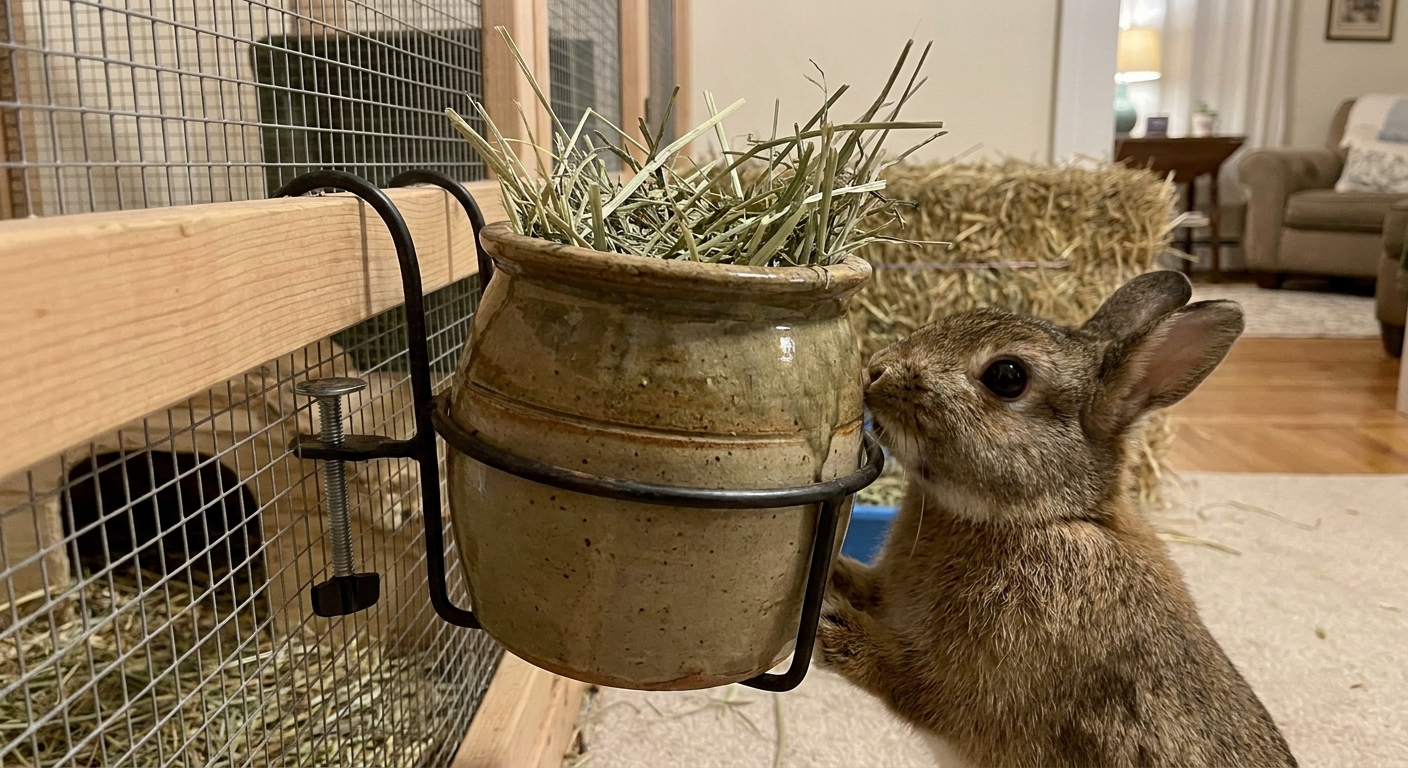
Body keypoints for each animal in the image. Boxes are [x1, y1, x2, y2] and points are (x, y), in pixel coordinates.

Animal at [817, 270, 1296, 768]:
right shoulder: (889, 594)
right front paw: (829, 575)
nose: (877, 370)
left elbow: (917, 684)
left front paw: (834, 628)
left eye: (1007, 377)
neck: (1040, 518)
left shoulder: (988, 687)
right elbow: (864, 583)